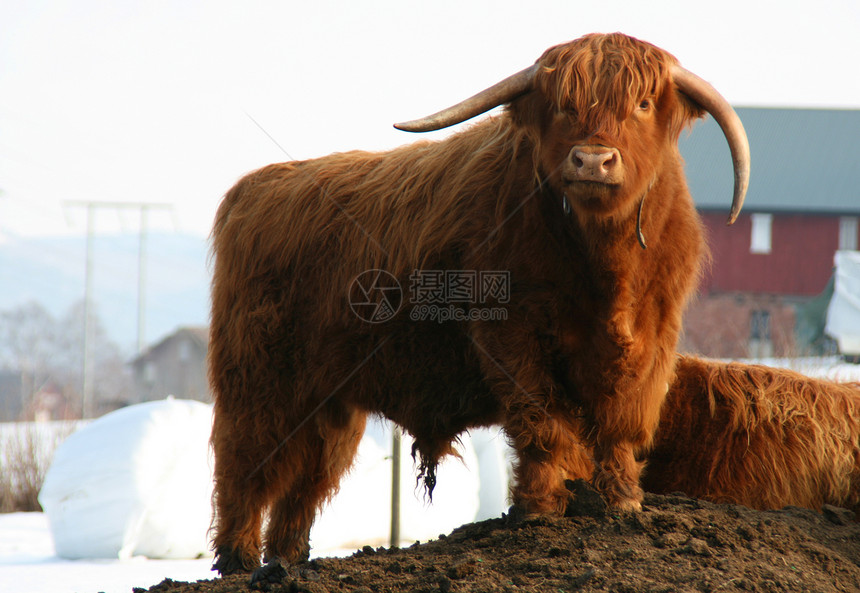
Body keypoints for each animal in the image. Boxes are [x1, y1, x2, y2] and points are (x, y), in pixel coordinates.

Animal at [207, 32, 744, 572]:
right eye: (562, 105)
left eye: (643, 104)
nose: (592, 160)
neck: (606, 268)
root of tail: (254, 188)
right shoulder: (514, 337)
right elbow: (543, 425)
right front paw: (540, 511)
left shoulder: (652, 342)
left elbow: (621, 426)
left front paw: (621, 502)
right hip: (259, 380)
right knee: (245, 467)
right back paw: (238, 559)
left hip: (333, 402)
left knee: (307, 480)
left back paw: (289, 559)